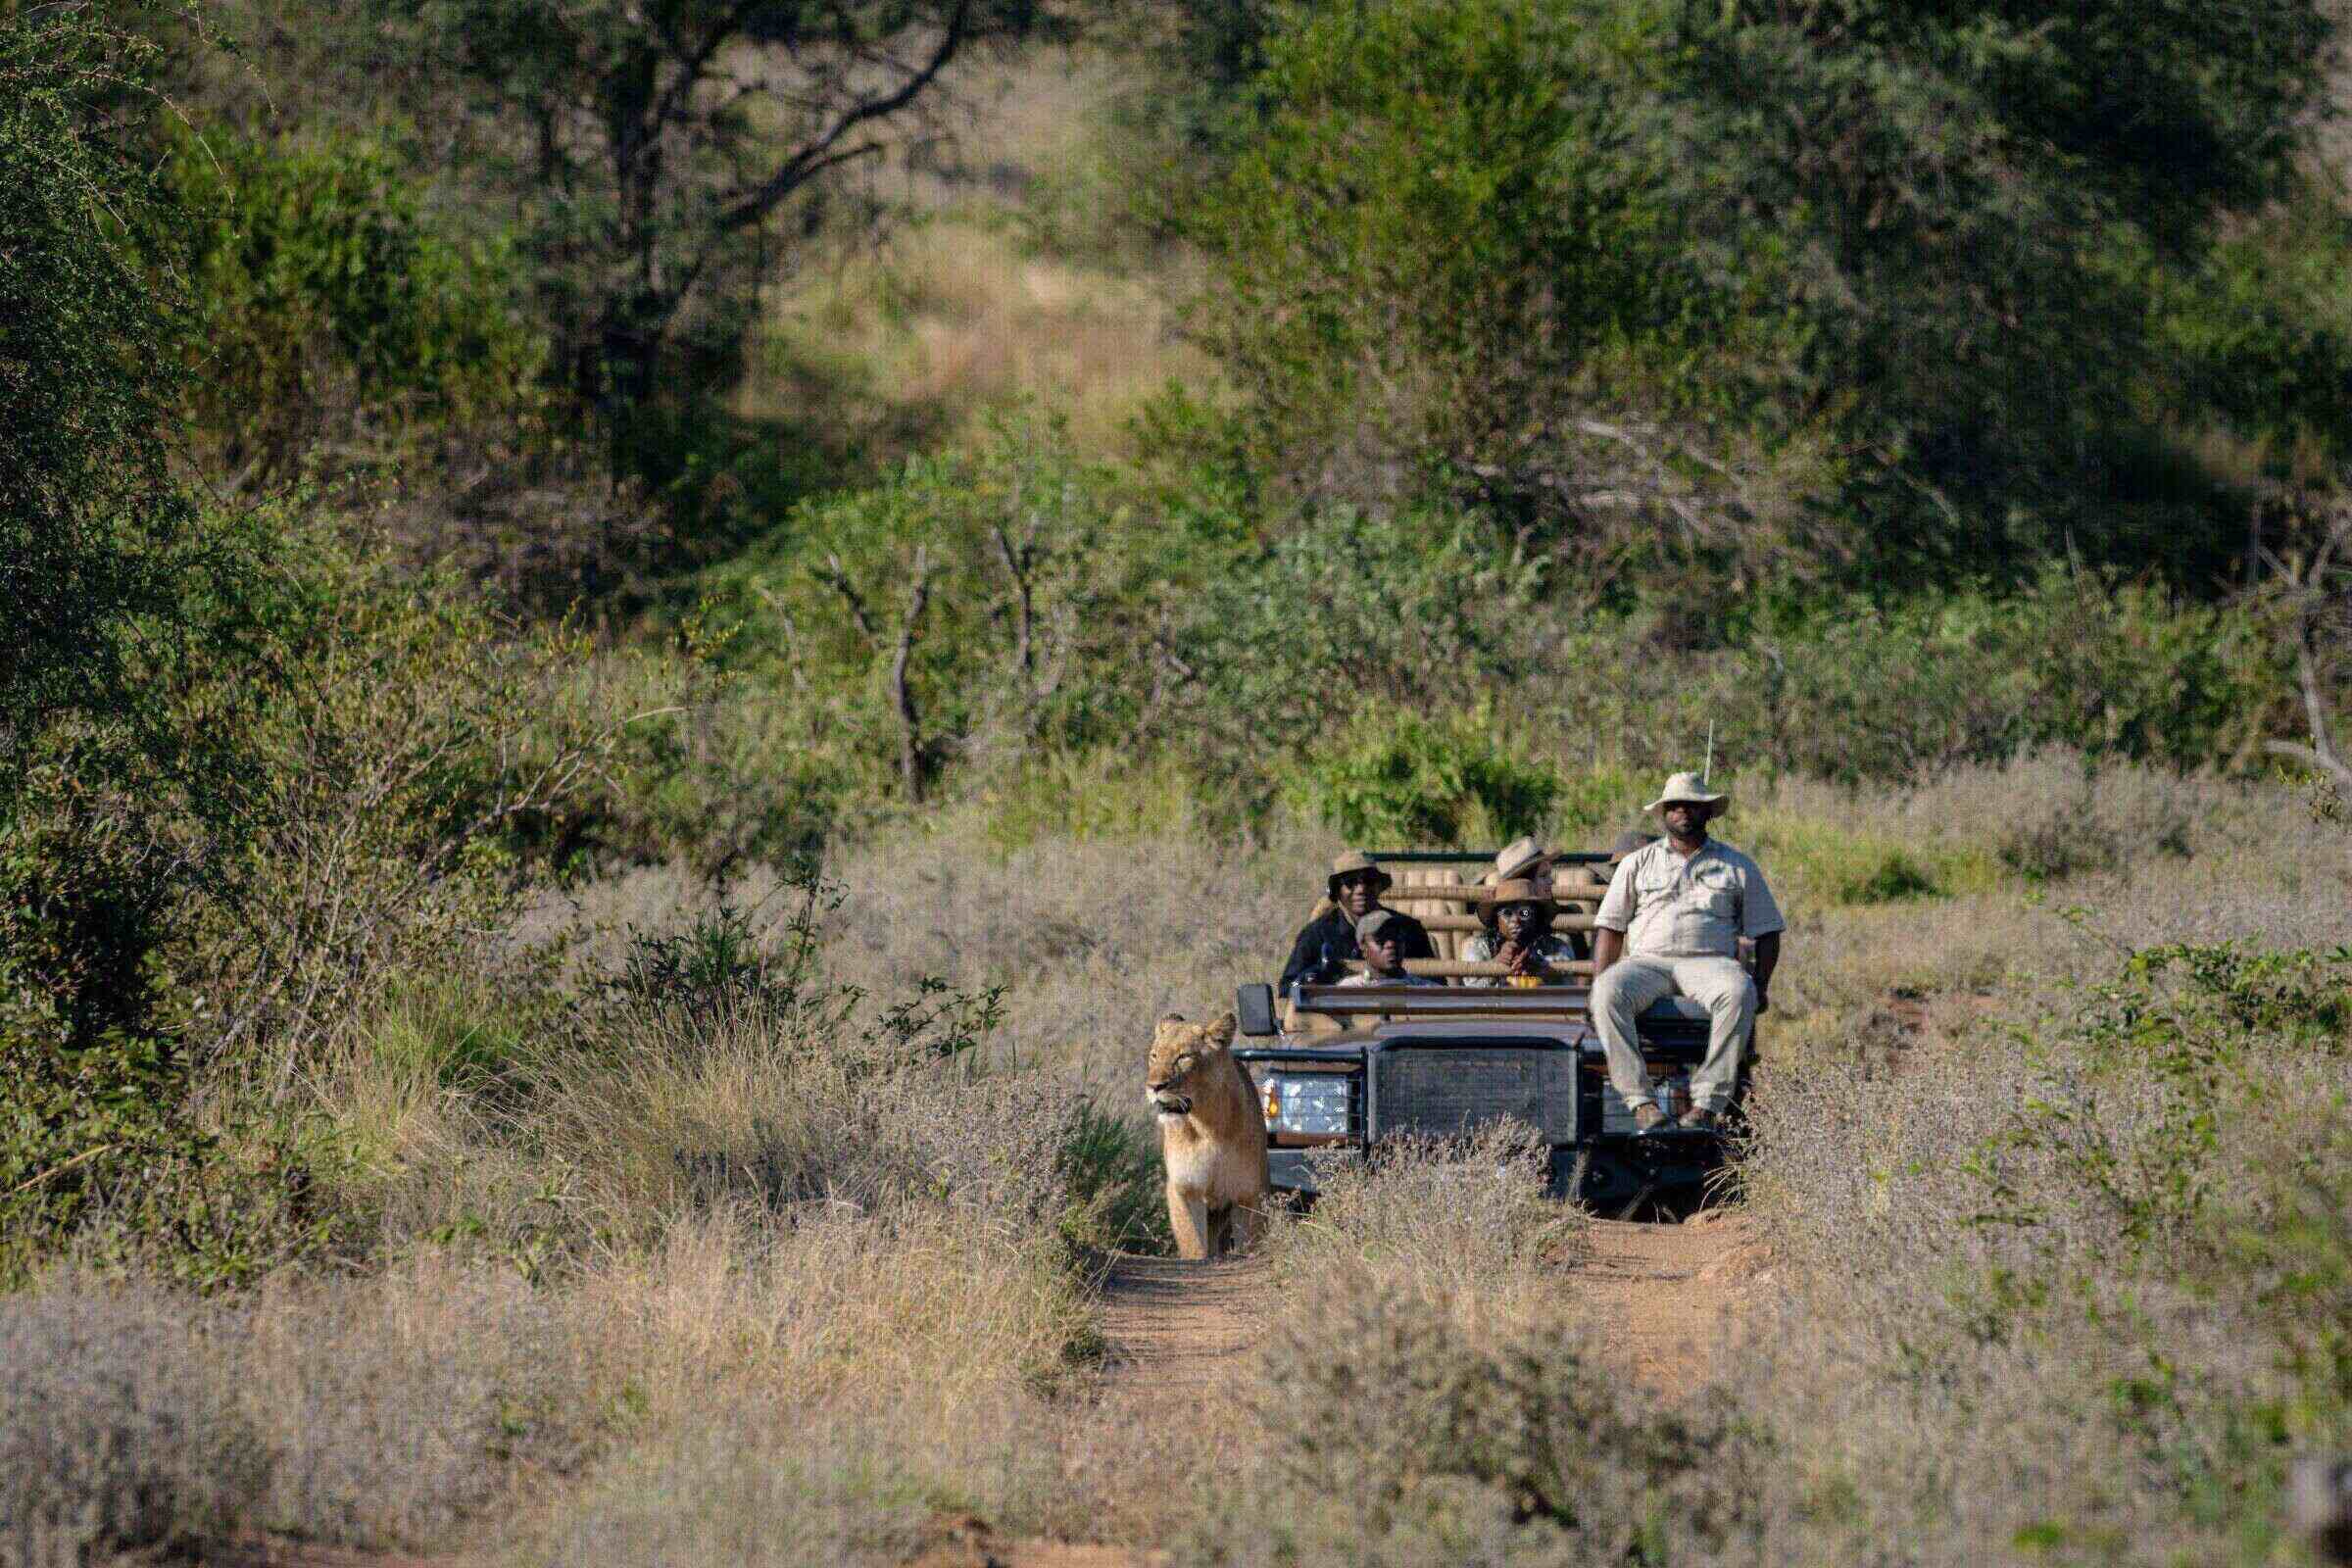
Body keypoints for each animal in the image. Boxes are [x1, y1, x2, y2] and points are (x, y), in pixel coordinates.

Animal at [1145, 1011, 1271, 1261]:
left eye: (1183, 1057)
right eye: (1154, 1055)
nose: (1153, 1086)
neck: (1207, 1126)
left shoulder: (1247, 1193)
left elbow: (1248, 1244)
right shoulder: (1184, 1189)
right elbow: (1193, 1244)